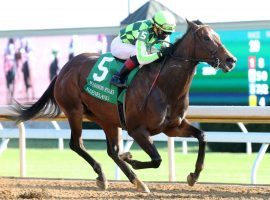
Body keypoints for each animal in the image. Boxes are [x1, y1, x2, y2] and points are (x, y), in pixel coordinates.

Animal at [11, 20, 236, 192]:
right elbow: (157, 159)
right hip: (74, 111)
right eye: (206, 38)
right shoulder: (137, 130)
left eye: (218, 36)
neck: (164, 85)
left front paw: (194, 175)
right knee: (77, 144)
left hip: (106, 119)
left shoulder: (173, 127)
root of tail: (64, 69)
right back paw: (107, 175)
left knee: (111, 151)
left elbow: (202, 136)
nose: (230, 60)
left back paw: (134, 179)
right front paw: (132, 159)